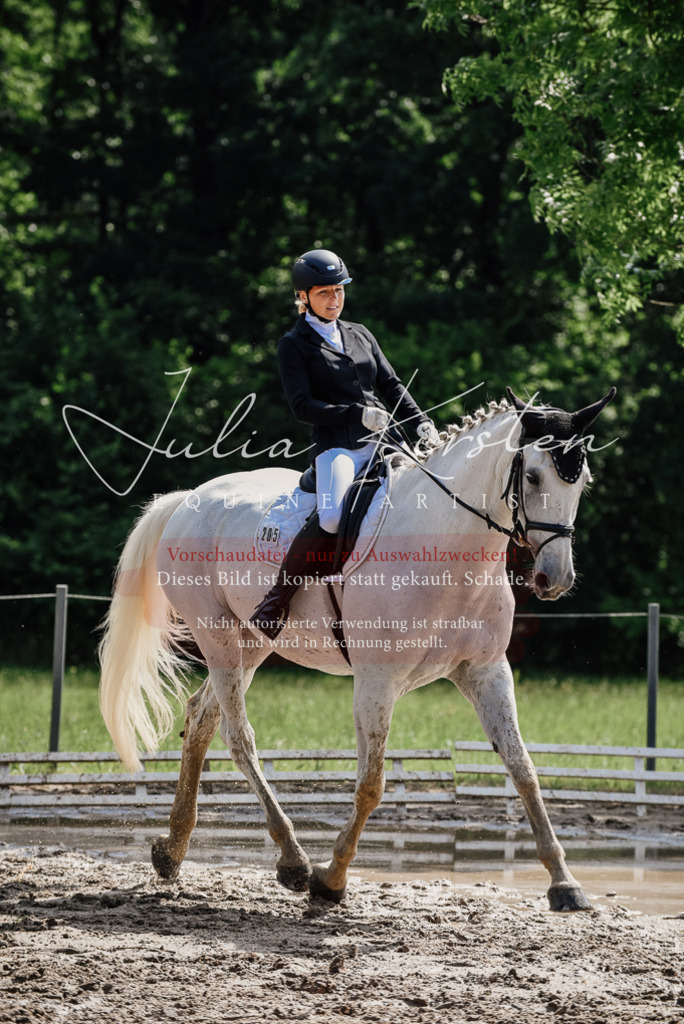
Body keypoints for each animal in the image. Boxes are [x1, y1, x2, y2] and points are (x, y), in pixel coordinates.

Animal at [99, 387, 615, 911]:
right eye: (531, 476)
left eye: (582, 481)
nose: (555, 579)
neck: (448, 548)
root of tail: (188, 500)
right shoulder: (377, 680)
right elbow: (371, 784)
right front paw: (331, 879)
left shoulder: (486, 672)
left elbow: (523, 768)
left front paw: (564, 882)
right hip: (217, 635)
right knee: (238, 736)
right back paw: (292, 859)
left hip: (251, 643)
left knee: (202, 717)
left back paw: (172, 851)